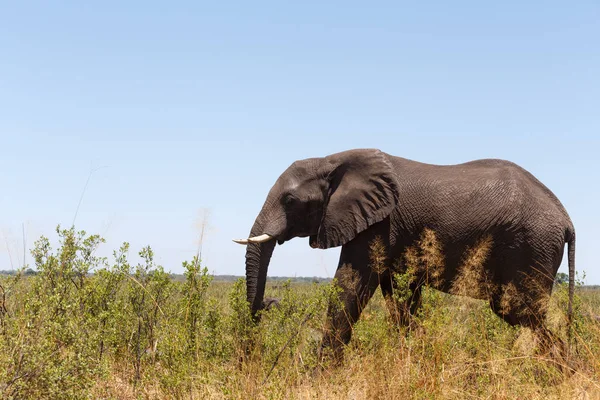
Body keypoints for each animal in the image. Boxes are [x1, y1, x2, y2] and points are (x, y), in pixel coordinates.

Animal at [233, 148, 576, 360]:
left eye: (290, 201)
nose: (269, 303)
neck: (332, 159)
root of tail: (567, 220)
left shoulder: (379, 224)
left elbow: (351, 284)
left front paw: (320, 376)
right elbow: (399, 298)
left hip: (532, 245)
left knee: (519, 310)